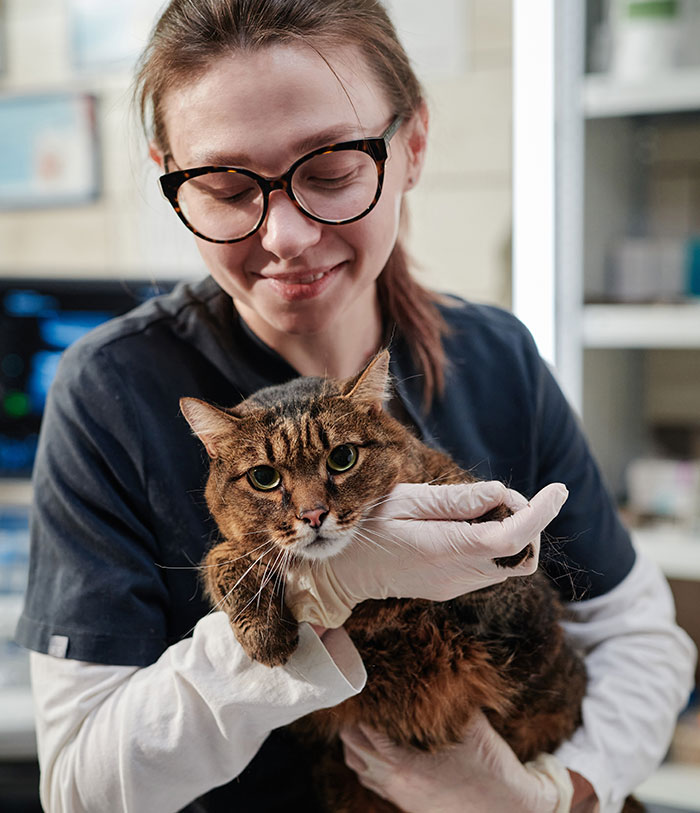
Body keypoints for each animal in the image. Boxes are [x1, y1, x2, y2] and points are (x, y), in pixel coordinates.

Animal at [179, 350, 624, 812]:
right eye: (264, 478)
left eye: (342, 458)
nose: (313, 515)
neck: (372, 610)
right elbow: (222, 558)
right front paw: (263, 630)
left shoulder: (519, 611)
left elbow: (467, 499)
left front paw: (492, 517)